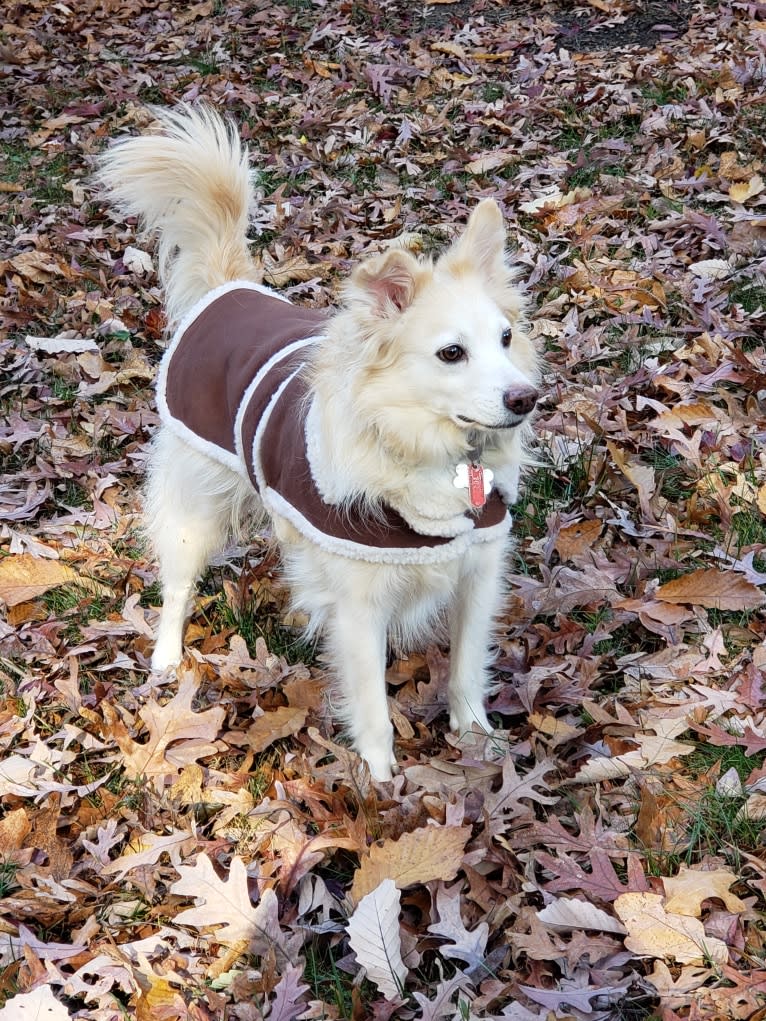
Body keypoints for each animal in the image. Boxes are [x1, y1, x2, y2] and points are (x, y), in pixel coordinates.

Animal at [97, 107, 539, 780]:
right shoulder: (360, 607)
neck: (422, 446)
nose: (527, 399)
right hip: (195, 509)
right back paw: (168, 658)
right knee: (177, 584)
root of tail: (227, 290)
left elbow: (466, 669)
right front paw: (381, 785)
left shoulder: (478, 572)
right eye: (451, 353)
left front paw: (477, 742)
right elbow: (374, 709)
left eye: (507, 338)